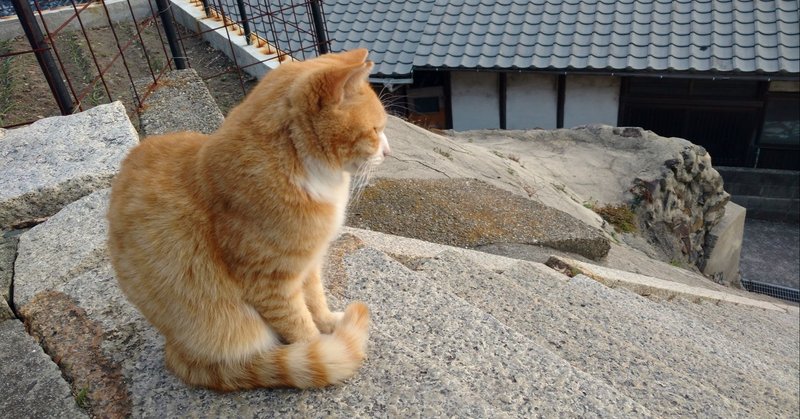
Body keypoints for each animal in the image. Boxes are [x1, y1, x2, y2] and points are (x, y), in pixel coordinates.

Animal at [108, 50, 390, 394]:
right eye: (375, 130)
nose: (388, 152)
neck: (297, 166)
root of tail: (174, 351)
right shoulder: (270, 282)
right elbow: (299, 325)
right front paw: (320, 346)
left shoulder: (307, 263)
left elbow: (315, 299)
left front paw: (329, 324)